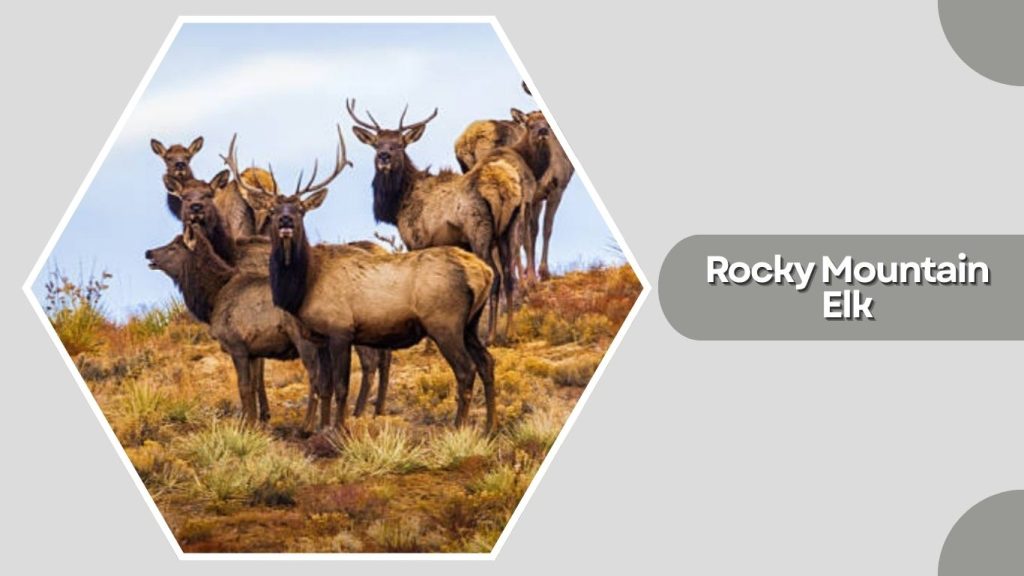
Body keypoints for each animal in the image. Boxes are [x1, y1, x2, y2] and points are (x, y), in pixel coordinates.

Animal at [230, 128, 499, 433]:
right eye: (274, 210)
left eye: (300, 209)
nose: (286, 221)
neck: (303, 287)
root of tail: (483, 272)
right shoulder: (319, 336)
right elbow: (325, 386)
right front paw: (320, 429)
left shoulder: (341, 329)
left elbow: (341, 387)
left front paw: (340, 429)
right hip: (470, 324)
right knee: (487, 362)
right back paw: (490, 427)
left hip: (445, 322)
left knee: (466, 370)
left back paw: (458, 427)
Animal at [345, 99, 536, 343]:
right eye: (377, 144)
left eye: (399, 144)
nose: (384, 157)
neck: (398, 203)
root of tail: (502, 186)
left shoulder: (415, 240)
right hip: (510, 229)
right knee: (510, 276)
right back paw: (510, 332)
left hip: (480, 231)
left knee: (495, 276)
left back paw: (490, 336)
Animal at [453, 82, 575, 280]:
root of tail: (468, 142)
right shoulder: (556, 186)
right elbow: (545, 229)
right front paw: (541, 273)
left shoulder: (537, 196)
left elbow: (532, 232)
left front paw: (529, 273)